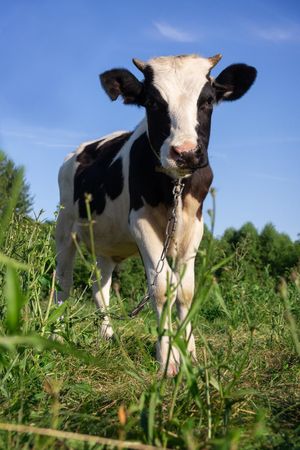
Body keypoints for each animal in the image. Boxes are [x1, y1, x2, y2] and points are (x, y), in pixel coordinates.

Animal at [55, 52, 255, 376]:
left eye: (208, 100)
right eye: (152, 102)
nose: (185, 153)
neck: (174, 187)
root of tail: (79, 151)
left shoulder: (194, 226)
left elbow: (185, 291)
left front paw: (190, 355)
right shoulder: (141, 223)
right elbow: (162, 288)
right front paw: (168, 360)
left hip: (106, 246)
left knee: (100, 288)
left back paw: (107, 336)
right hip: (65, 227)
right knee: (64, 281)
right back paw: (57, 333)